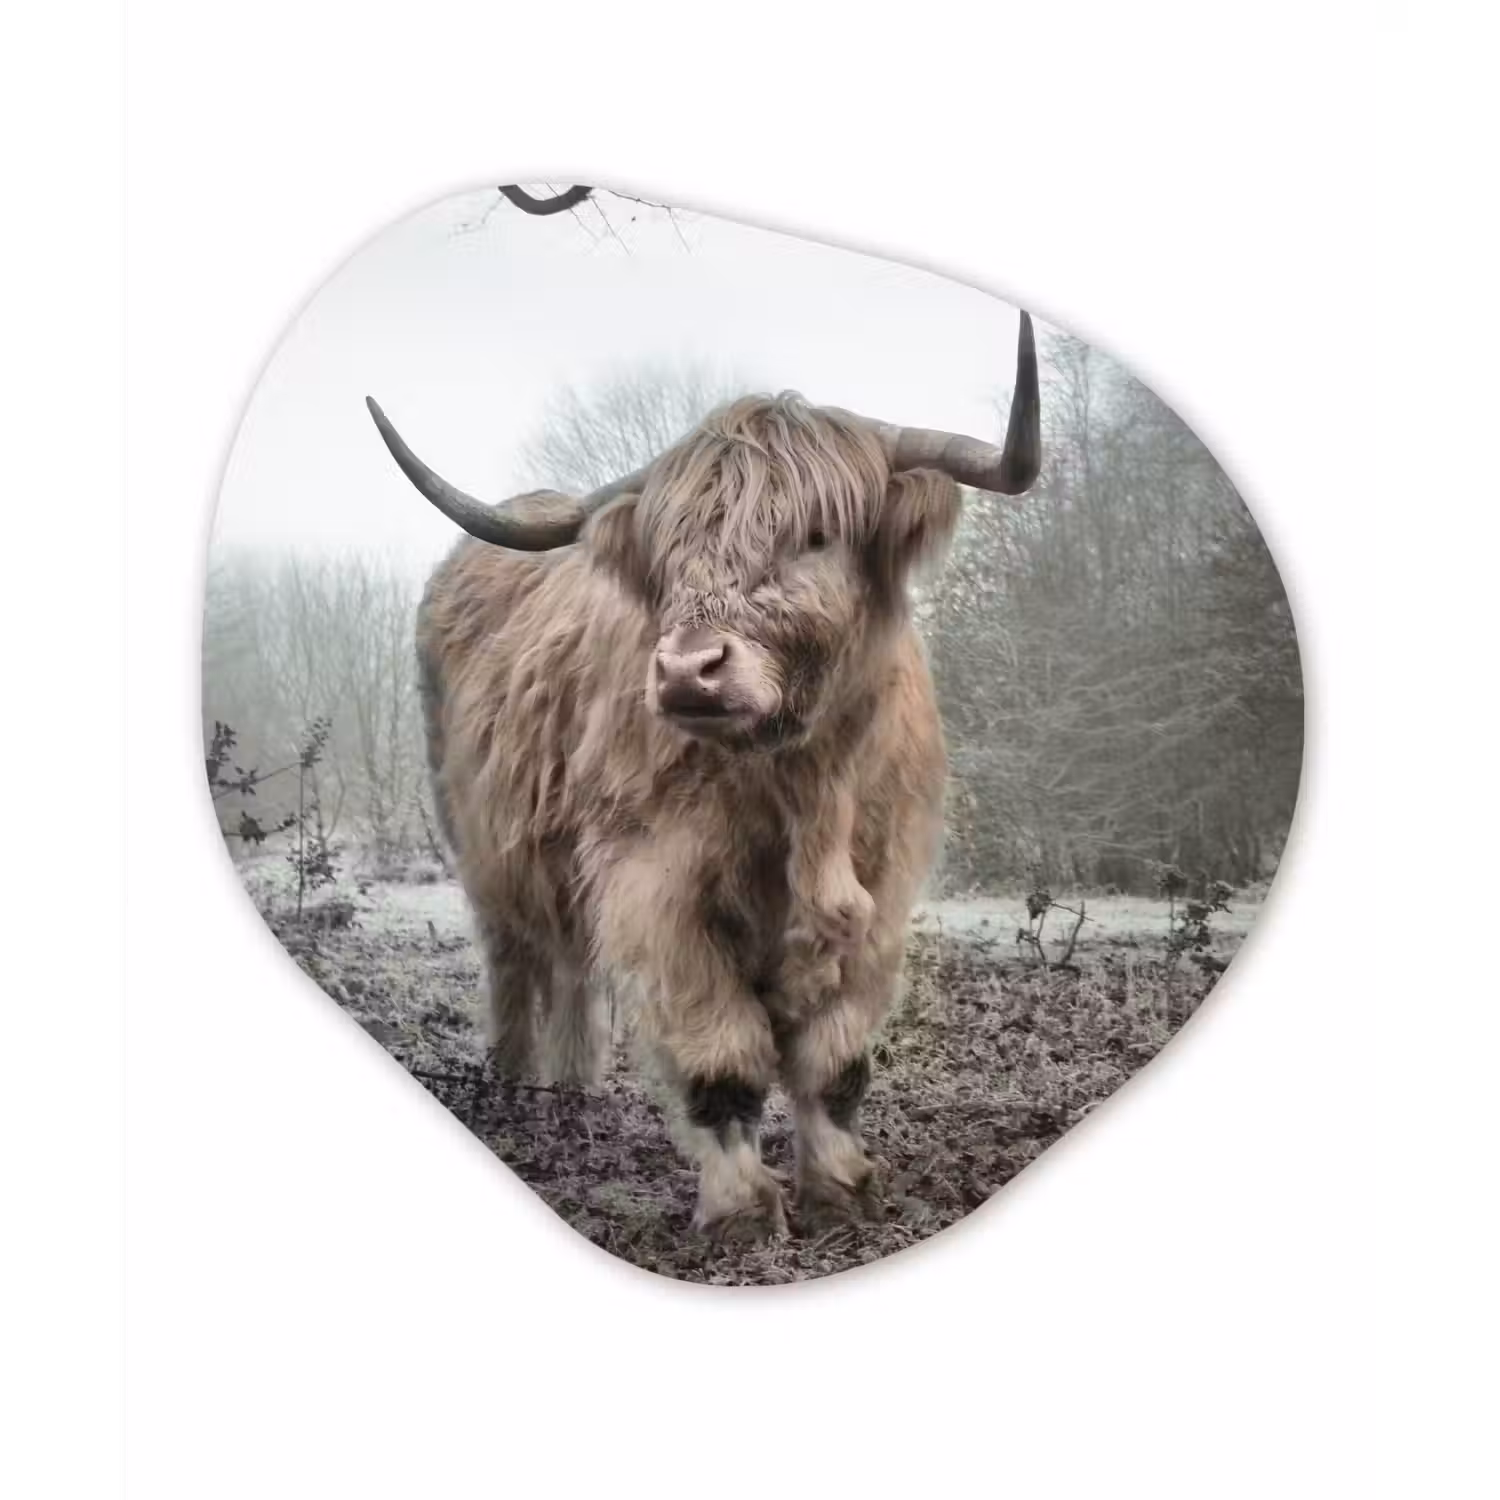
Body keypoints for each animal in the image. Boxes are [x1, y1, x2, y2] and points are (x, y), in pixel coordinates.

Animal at [364, 315, 1041, 1243]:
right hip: (481, 842)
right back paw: (513, 1086)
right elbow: (722, 1060)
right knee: (515, 958)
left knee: (570, 964)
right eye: (671, 550)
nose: (688, 670)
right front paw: (742, 1211)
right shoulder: (657, 888)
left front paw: (841, 1191)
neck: (802, 786)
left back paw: (571, 1089)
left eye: (817, 535)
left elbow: (835, 1062)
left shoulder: (883, 891)